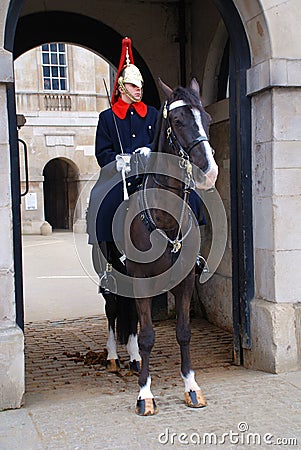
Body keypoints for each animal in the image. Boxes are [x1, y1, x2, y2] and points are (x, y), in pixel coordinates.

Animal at [122, 78, 218, 414]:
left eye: (208, 118)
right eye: (177, 120)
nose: (209, 171)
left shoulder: (186, 281)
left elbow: (184, 332)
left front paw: (191, 386)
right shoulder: (139, 281)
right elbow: (149, 336)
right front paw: (144, 393)